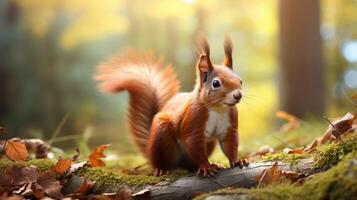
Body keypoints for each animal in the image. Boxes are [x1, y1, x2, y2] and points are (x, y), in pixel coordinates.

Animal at [94, 36, 246, 177]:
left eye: (240, 81)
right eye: (216, 83)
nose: (237, 95)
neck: (217, 109)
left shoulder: (230, 124)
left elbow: (230, 144)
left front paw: (237, 161)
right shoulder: (194, 118)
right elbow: (194, 143)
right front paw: (205, 166)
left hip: (208, 144)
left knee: (190, 165)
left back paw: (207, 165)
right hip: (162, 137)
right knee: (163, 161)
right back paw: (161, 169)